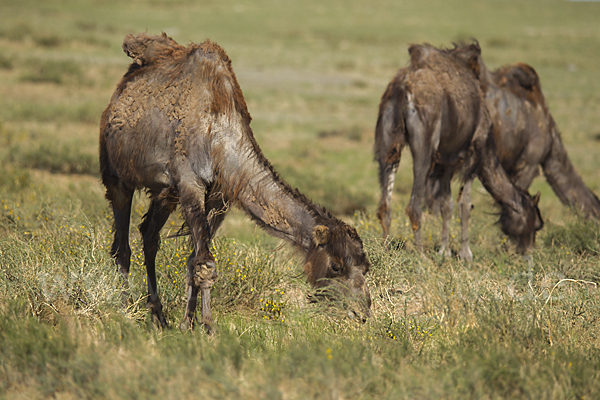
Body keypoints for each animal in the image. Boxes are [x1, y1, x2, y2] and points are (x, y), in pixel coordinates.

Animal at [99, 32, 370, 332]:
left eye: (365, 267)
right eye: (336, 266)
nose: (362, 312)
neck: (220, 139)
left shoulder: (220, 196)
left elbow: (194, 259)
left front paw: (187, 324)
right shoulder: (190, 183)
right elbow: (206, 263)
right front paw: (207, 326)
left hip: (166, 193)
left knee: (149, 236)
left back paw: (158, 316)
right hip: (116, 174)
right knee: (122, 245)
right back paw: (125, 310)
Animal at [376, 44, 544, 262]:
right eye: (536, 224)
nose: (528, 252)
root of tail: (403, 88)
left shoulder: (446, 162)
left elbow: (446, 205)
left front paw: (445, 251)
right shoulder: (474, 154)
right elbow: (465, 205)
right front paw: (466, 255)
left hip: (387, 139)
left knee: (385, 202)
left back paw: (385, 250)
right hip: (425, 142)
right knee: (414, 204)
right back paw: (421, 255)